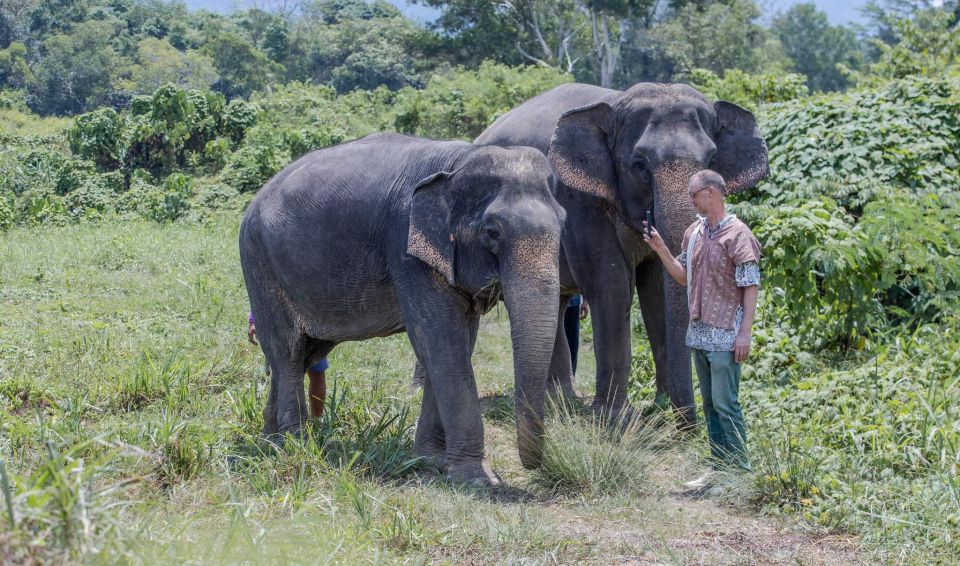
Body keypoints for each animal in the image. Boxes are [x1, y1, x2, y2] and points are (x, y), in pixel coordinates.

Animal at [240, 134, 568, 488]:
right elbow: (442, 343)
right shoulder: (406, 250)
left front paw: (431, 461)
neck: (460, 161)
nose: (534, 471)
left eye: (563, 223)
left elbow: (458, 344)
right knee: (287, 351)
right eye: (492, 232)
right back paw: (294, 445)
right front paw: (477, 479)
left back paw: (270, 438)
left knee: (305, 353)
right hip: (259, 263)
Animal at [476, 83, 768, 426]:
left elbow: (656, 292)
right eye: (640, 164)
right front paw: (615, 419)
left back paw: (563, 400)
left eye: (711, 158)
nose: (686, 425)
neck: (614, 104)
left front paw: (658, 409)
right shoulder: (579, 201)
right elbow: (611, 288)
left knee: (557, 301)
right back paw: (562, 402)